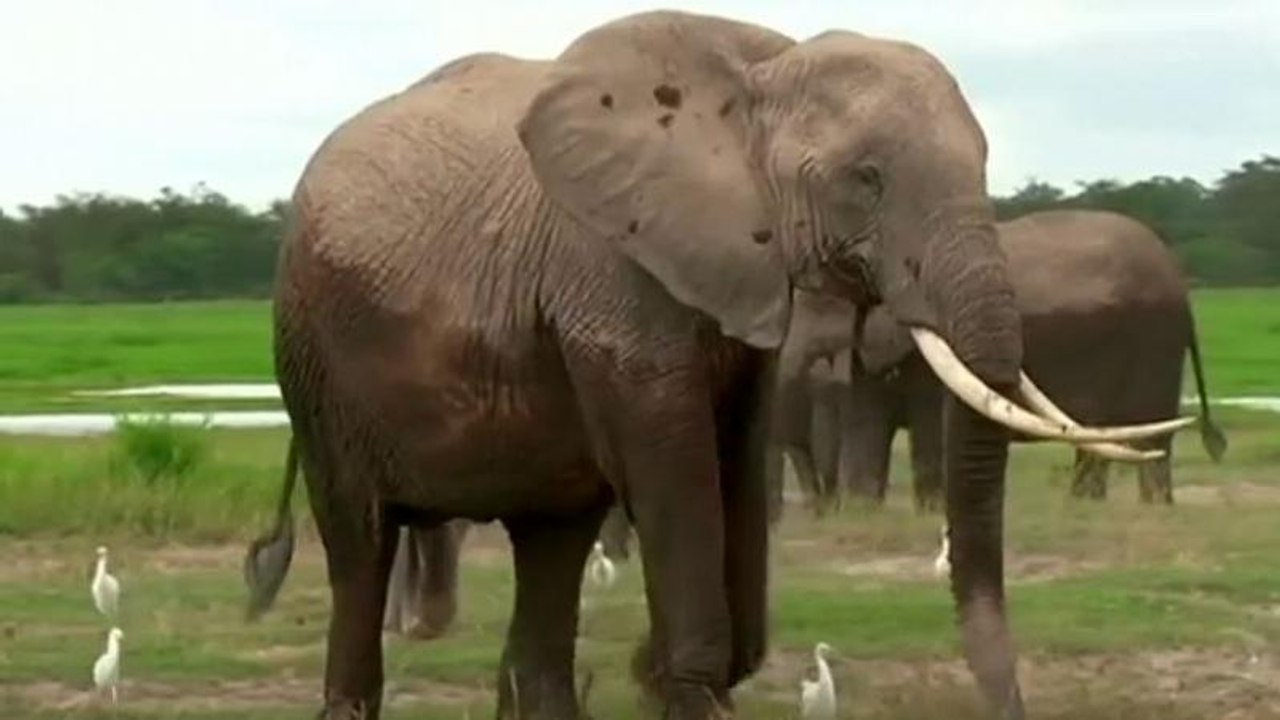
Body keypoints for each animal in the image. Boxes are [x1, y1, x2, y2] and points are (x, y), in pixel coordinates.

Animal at [778, 208, 1227, 512]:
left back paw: (1151, 508)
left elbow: (928, 425)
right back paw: (1083, 508)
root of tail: (1180, 280)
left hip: (1154, 339)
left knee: (1148, 440)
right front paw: (864, 511)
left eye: (815, 304)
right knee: (1102, 438)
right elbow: (867, 423)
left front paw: (929, 512)